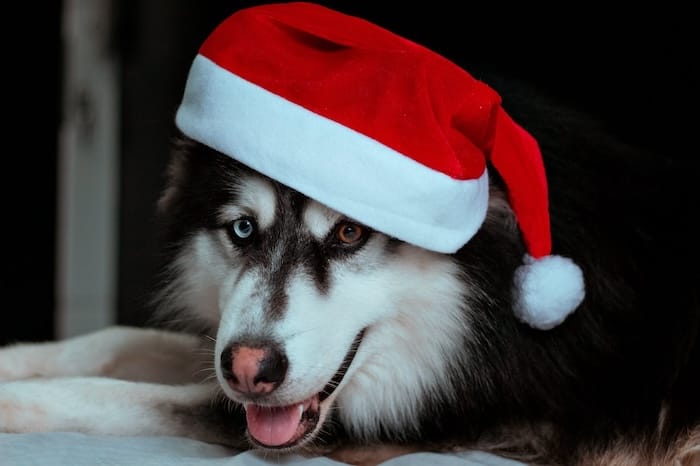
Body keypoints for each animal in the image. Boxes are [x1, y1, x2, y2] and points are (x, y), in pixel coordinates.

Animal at [1, 2, 700, 462]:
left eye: (347, 235)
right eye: (242, 229)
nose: (250, 370)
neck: (493, 309)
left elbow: (121, 396)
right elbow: (119, 339)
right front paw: (15, 360)